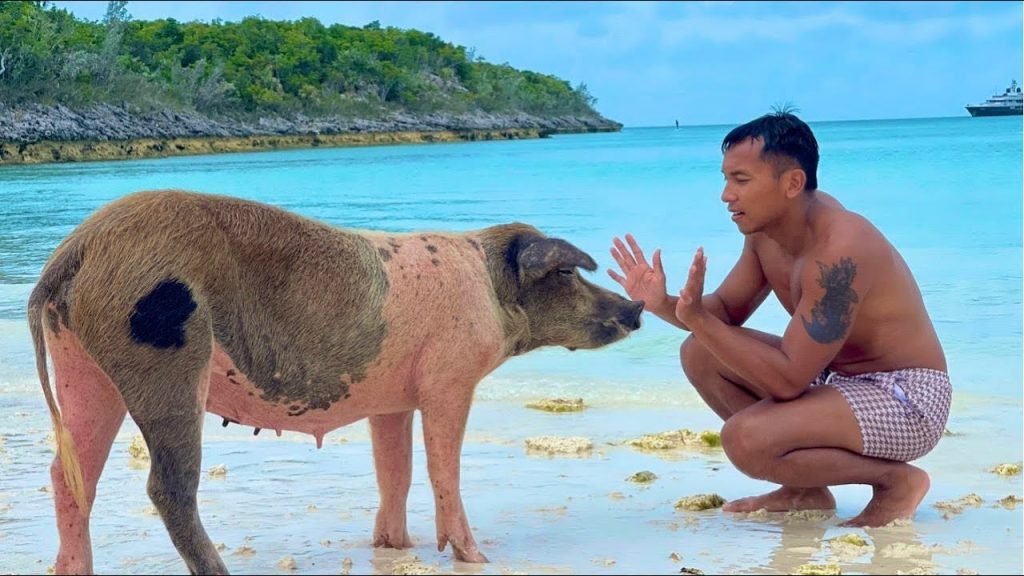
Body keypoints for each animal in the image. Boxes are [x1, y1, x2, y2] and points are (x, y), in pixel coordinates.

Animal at [27, 189, 644, 575]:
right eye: (567, 272)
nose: (637, 307)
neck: (490, 289)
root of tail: (76, 250)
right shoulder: (449, 377)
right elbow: (444, 467)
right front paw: (476, 558)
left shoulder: (392, 397)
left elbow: (395, 471)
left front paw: (394, 546)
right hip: (165, 357)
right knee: (167, 486)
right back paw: (217, 568)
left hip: (83, 362)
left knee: (70, 473)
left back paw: (72, 569)